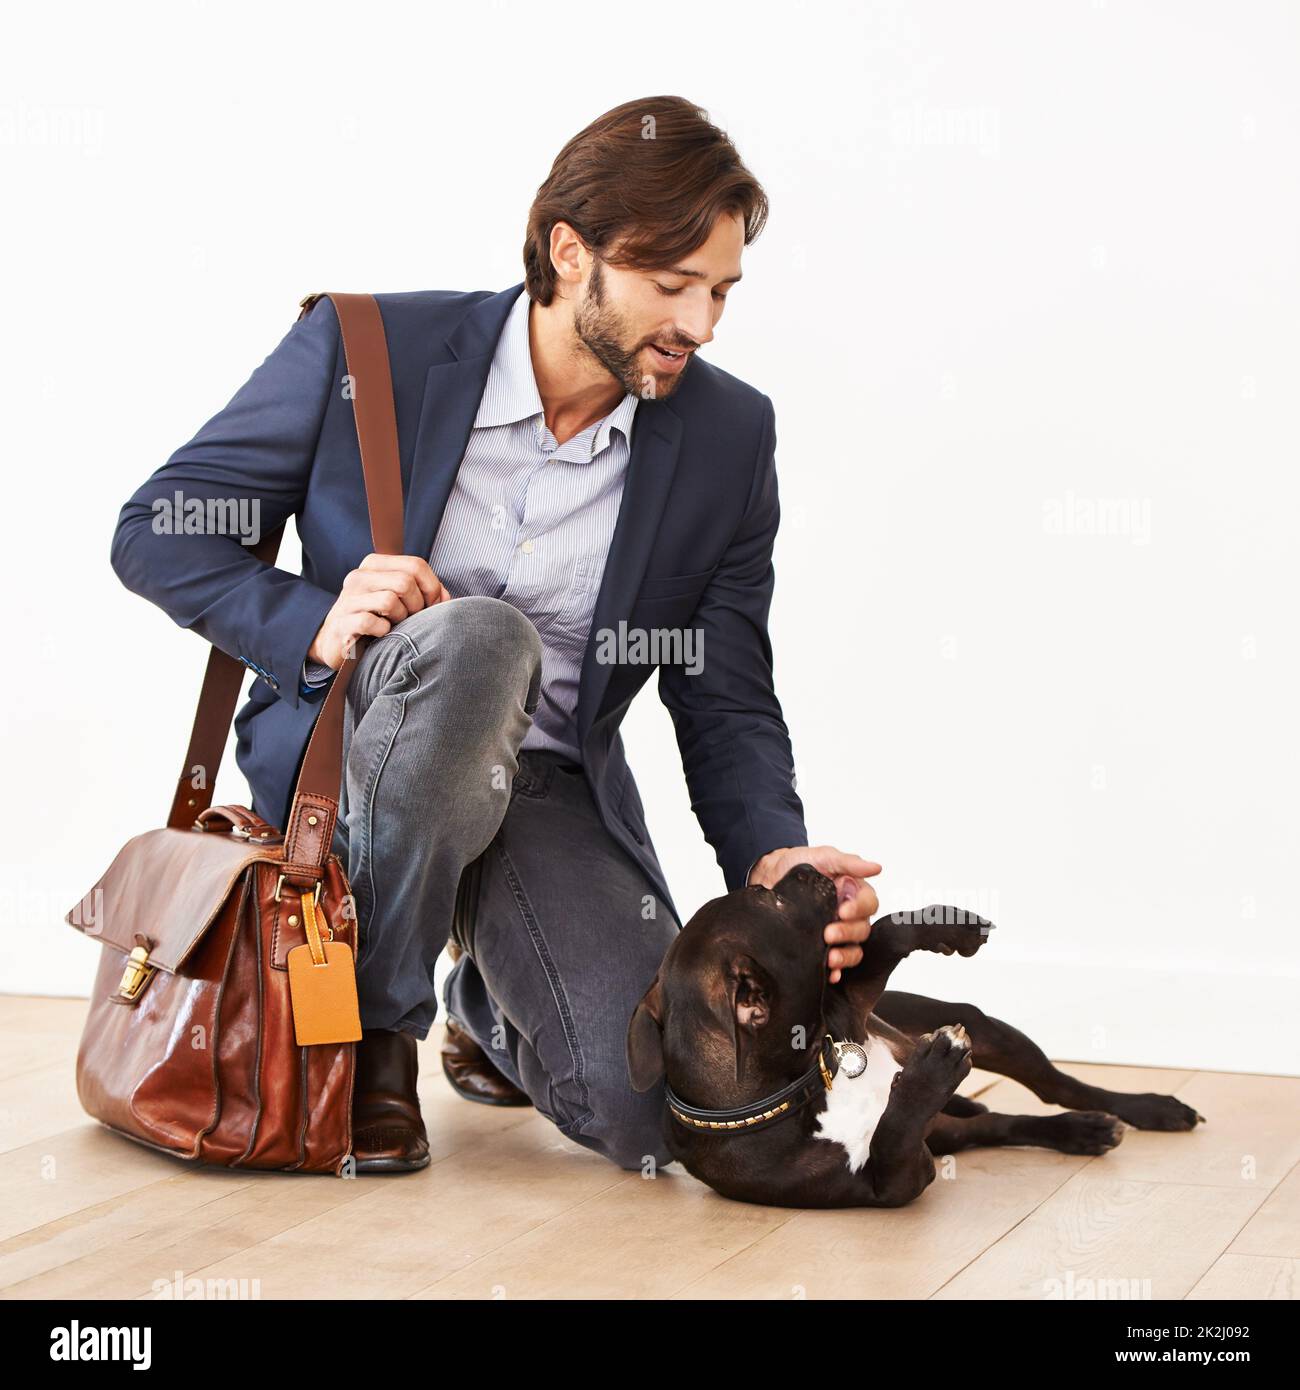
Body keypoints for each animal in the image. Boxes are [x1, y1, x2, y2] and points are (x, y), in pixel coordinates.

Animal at [625, 867, 1206, 1206]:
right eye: (768, 898)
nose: (806, 865)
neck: (805, 1084)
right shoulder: (897, 1180)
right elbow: (891, 1132)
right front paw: (933, 1069)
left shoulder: (850, 1006)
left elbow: (885, 933)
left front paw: (945, 924)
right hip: (950, 1132)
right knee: (998, 1122)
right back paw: (1080, 1131)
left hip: (985, 1028)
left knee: (1056, 1085)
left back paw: (1147, 1109)